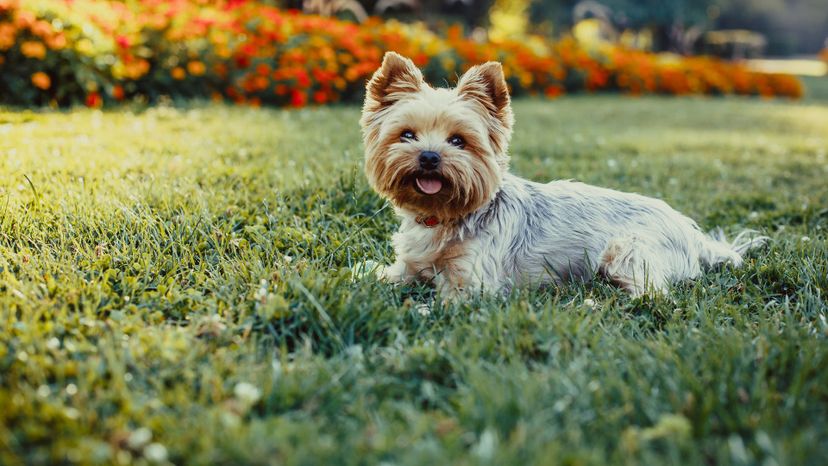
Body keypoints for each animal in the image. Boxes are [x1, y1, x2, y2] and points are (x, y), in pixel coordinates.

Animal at [360, 52, 768, 298]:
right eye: (407, 135)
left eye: (458, 141)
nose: (429, 157)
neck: (443, 215)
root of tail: (692, 233)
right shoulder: (407, 266)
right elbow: (381, 274)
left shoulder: (473, 282)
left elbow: (441, 299)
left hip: (626, 251)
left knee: (653, 292)